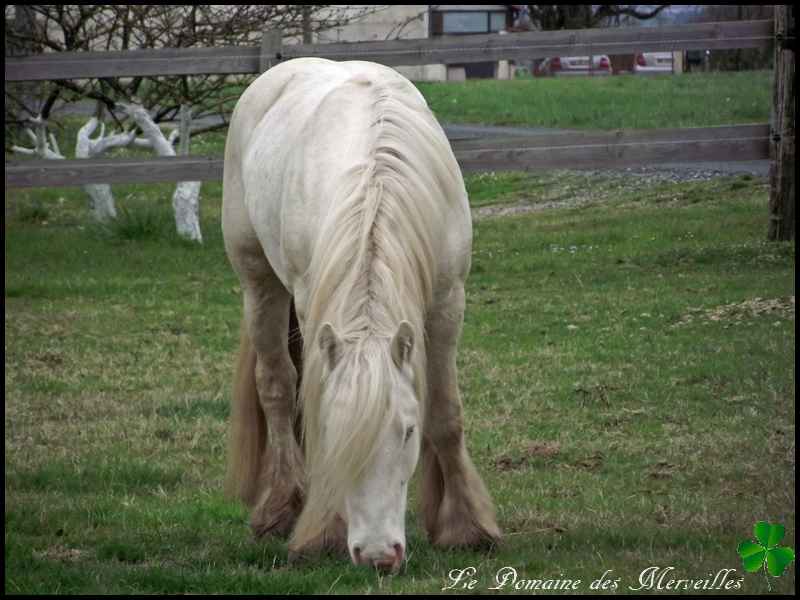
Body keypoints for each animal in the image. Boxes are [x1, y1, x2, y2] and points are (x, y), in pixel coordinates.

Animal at [223, 57, 500, 572]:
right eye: (337, 433)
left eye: (407, 432)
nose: (376, 554)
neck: (378, 182)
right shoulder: (312, 304)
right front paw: (322, 531)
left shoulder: (448, 302)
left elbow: (446, 413)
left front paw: (466, 526)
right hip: (259, 282)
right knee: (276, 385)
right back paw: (280, 507)